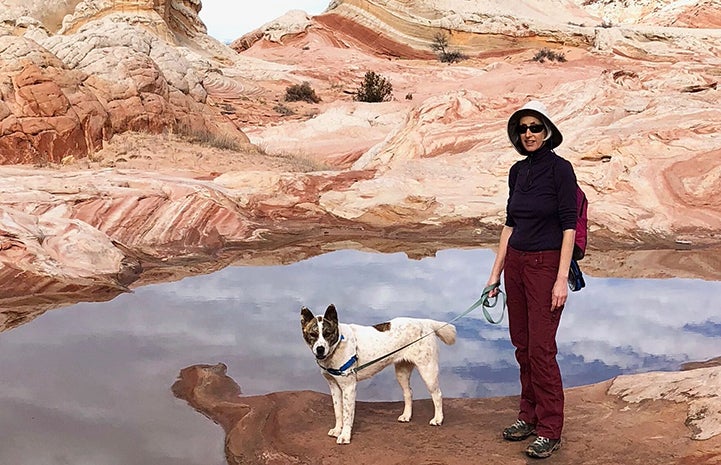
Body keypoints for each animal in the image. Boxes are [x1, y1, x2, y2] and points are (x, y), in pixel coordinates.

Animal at [298, 304, 456, 442]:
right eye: (313, 334)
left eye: (327, 334)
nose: (320, 349)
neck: (338, 345)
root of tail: (424, 322)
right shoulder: (334, 387)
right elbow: (338, 411)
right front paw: (337, 430)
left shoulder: (349, 387)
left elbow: (348, 414)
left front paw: (345, 436)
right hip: (402, 372)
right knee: (408, 392)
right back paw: (406, 416)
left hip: (428, 370)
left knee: (437, 395)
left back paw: (438, 419)